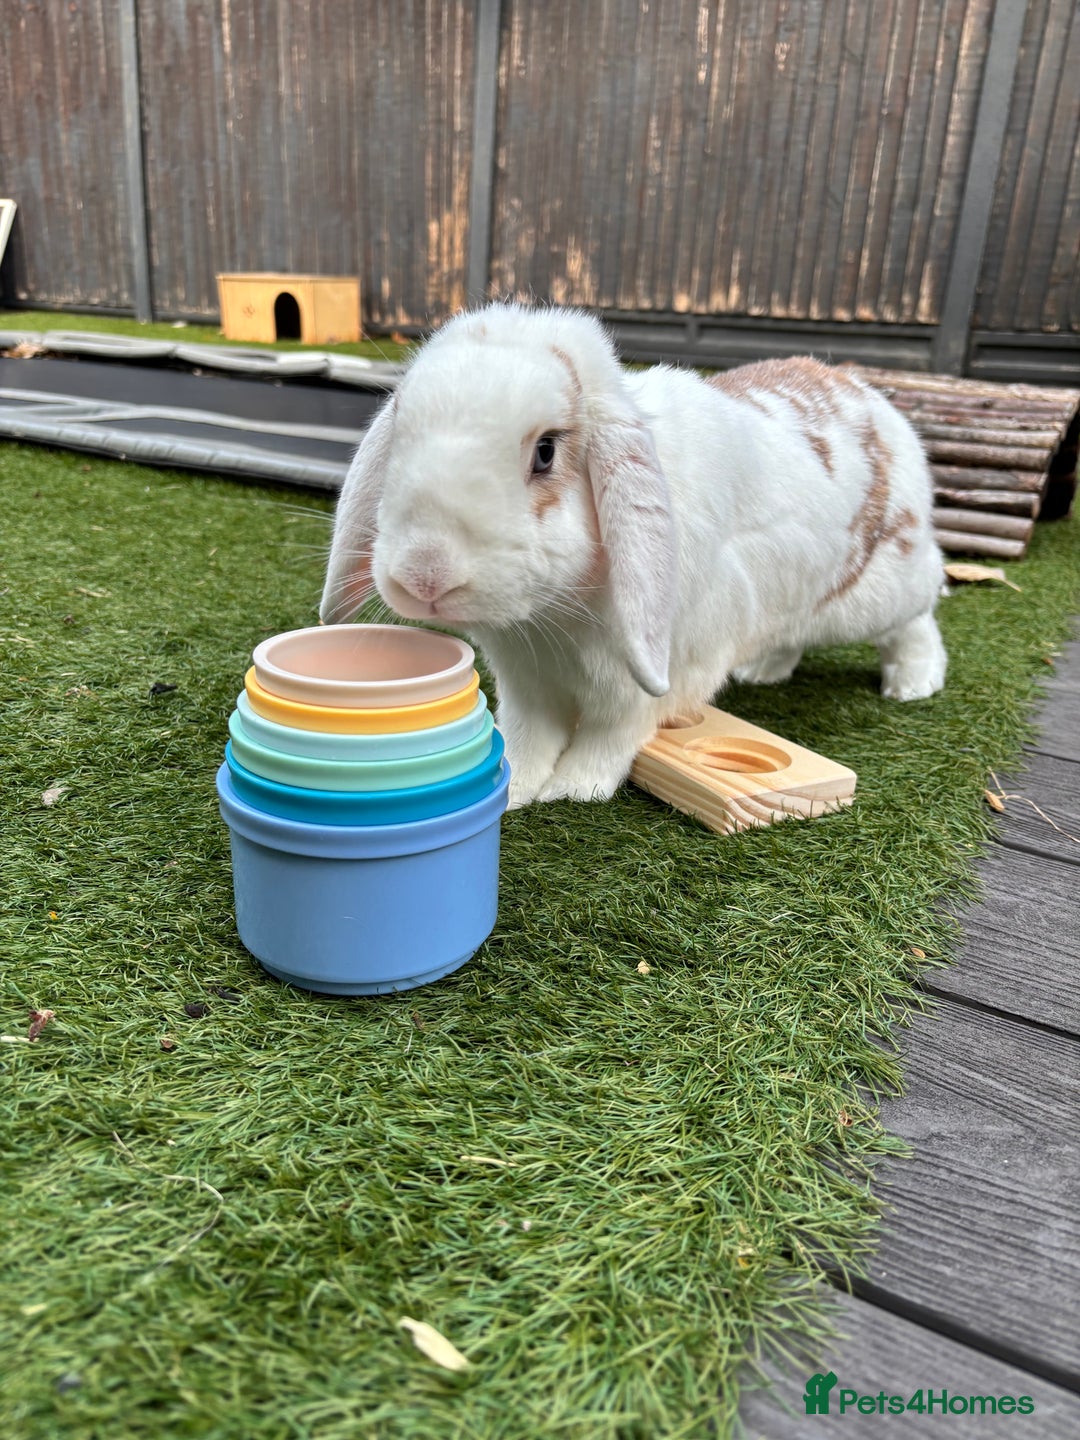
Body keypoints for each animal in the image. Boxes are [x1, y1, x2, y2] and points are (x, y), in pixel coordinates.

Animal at [320, 303, 946, 807]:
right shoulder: (527, 683)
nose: (424, 577)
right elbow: (529, 735)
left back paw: (913, 683)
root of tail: (868, 397)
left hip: (879, 588)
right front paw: (516, 783)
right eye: (401, 433)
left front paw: (574, 790)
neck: (553, 618)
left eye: (546, 452)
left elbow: (613, 734)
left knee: (919, 616)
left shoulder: (654, 678)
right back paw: (765, 671)